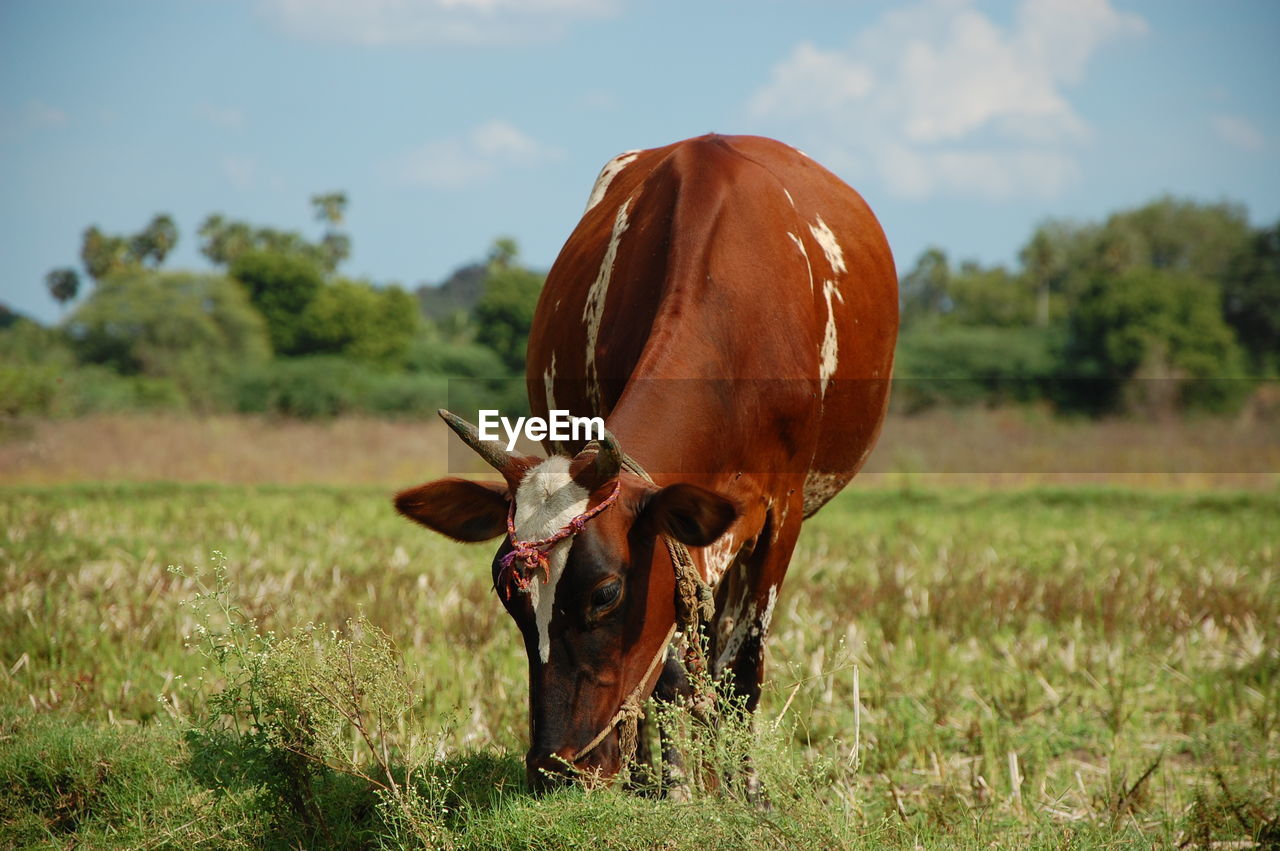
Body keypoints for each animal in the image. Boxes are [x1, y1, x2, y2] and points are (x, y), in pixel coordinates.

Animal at [394, 133, 896, 788]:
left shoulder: (780, 516)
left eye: (606, 593)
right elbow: (671, 676)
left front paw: (744, 792)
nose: (556, 767)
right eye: (508, 594)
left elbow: (743, 671)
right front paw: (666, 786)